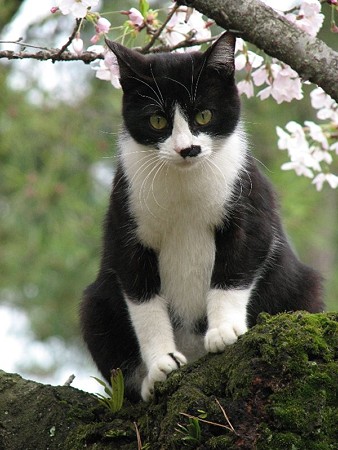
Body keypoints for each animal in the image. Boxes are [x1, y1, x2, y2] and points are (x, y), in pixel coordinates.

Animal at [80, 33, 324, 402]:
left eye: (205, 115)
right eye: (157, 121)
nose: (188, 149)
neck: (184, 187)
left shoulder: (250, 202)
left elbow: (235, 269)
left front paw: (224, 331)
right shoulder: (125, 220)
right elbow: (142, 301)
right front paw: (161, 364)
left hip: (301, 286)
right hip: (96, 305)